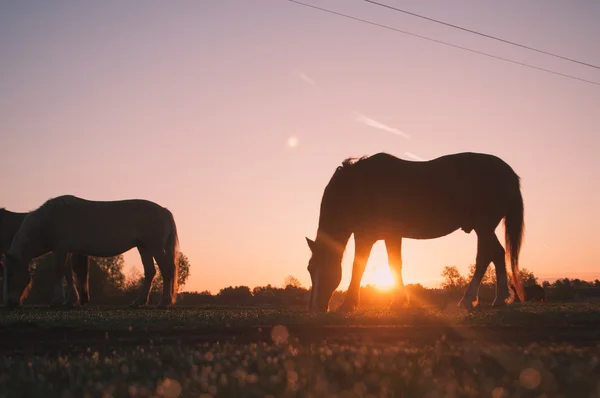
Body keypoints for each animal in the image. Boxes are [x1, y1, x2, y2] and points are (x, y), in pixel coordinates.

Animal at [2, 195, 180, 308]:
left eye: (10, 273)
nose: (10, 303)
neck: (49, 221)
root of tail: (164, 211)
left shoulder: (60, 249)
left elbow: (58, 272)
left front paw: (57, 300)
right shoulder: (67, 251)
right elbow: (68, 274)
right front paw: (70, 300)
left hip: (155, 248)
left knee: (166, 270)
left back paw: (163, 302)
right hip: (144, 248)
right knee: (150, 272)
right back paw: (139, 302)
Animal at [308, 152, 524, 310]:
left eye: (322, 266)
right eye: (310, 269)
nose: (315, 308)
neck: (358, 187)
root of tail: (508, 172)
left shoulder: (365, 236)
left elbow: (358, 267)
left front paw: (347, 305)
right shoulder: (391, 236)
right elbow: (395, 264)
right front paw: (398, 301)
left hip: (483, 227)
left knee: (486, 256)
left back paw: (472, 299)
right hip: (484, 228)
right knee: (495, 254)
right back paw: (497, 298)